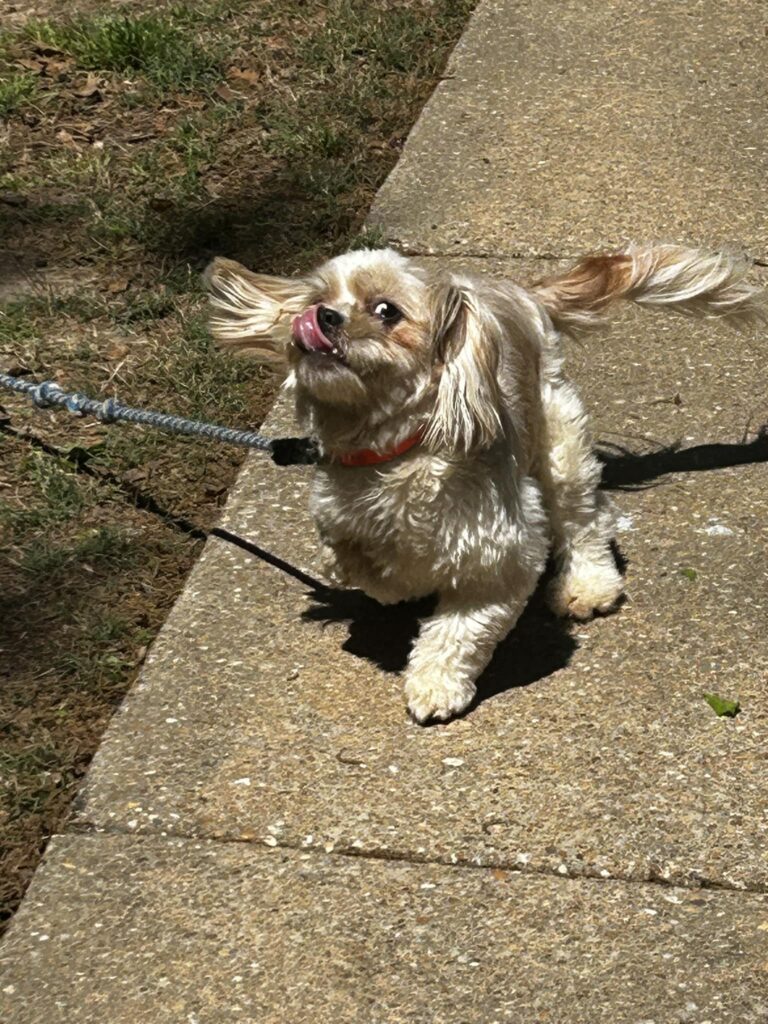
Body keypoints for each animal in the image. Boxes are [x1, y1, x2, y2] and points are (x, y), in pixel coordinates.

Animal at [207, 245, 765, 729]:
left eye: (386, 311)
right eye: (318, 299)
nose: (322, 318)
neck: (397, 452)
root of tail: (520, 292)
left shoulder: (503, 554)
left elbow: (460, 630)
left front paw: (435, 684)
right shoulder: (338, 519)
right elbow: (359, 565)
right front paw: (396, 580)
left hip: (558, 441)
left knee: (584, 519)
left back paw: (587, 584)